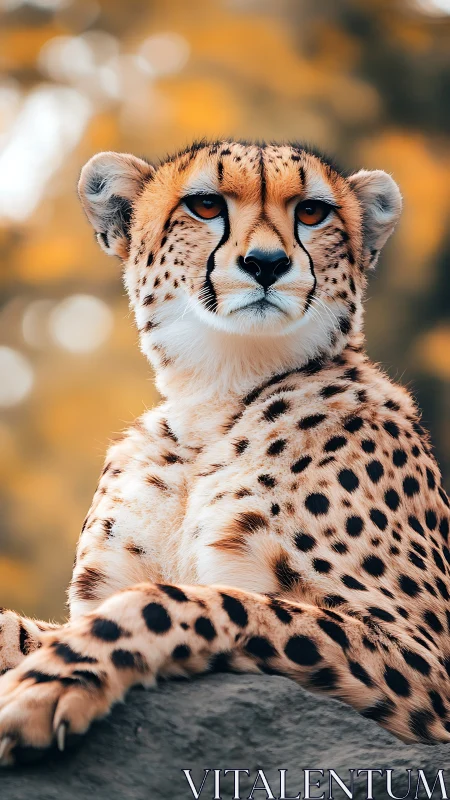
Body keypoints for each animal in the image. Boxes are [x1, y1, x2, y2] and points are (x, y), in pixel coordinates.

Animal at [0, 139, 449, 766]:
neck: (213, 401)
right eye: (206, 205)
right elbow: (31, 630)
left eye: (313, 213)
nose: (266, 263)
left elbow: (185, 600)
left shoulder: (423, 656)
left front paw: (51, 683)